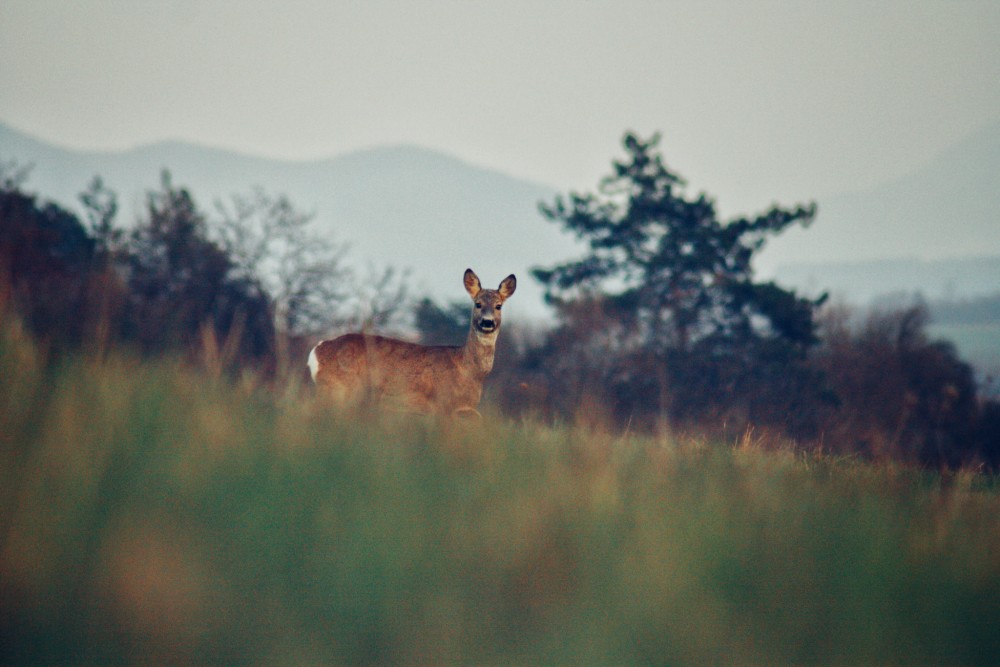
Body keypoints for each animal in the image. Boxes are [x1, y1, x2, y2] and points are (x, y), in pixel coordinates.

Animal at [308, 268, 520, 418]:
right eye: (478, 304)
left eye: (498, 306)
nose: (487, 322)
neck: (468, 370)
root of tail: (317, 350)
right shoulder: (443, 405)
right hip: (337, 388)